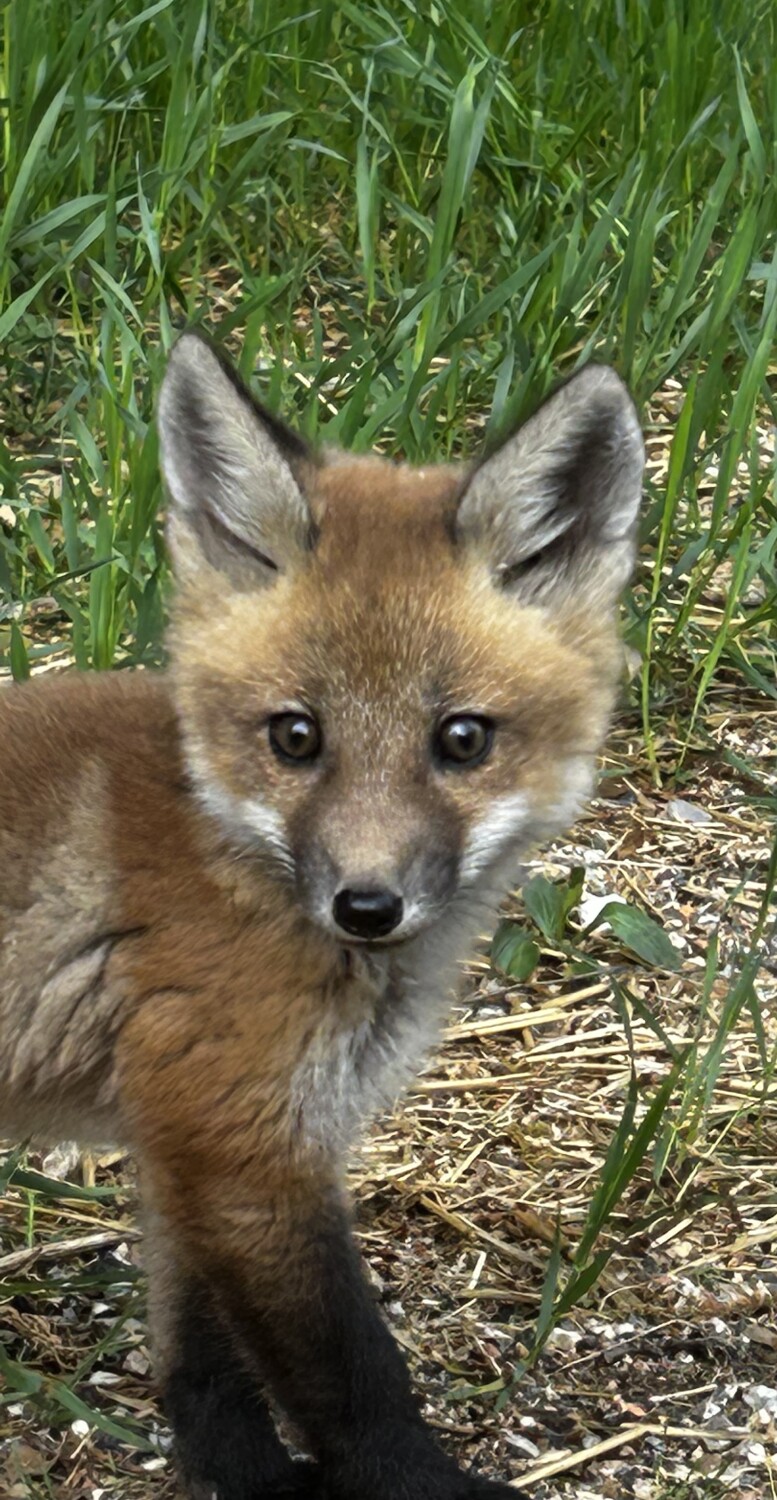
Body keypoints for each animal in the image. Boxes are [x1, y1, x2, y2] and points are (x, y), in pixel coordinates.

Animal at [0, 332, 644, 1499]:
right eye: (295, 737)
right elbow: (354, 1374)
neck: (231, 853)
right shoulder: (243, 1146)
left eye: (462, 739)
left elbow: (202, 1362)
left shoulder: (185, 1140)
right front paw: (421, 1486)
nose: (368, 905)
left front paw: (239, 1476)